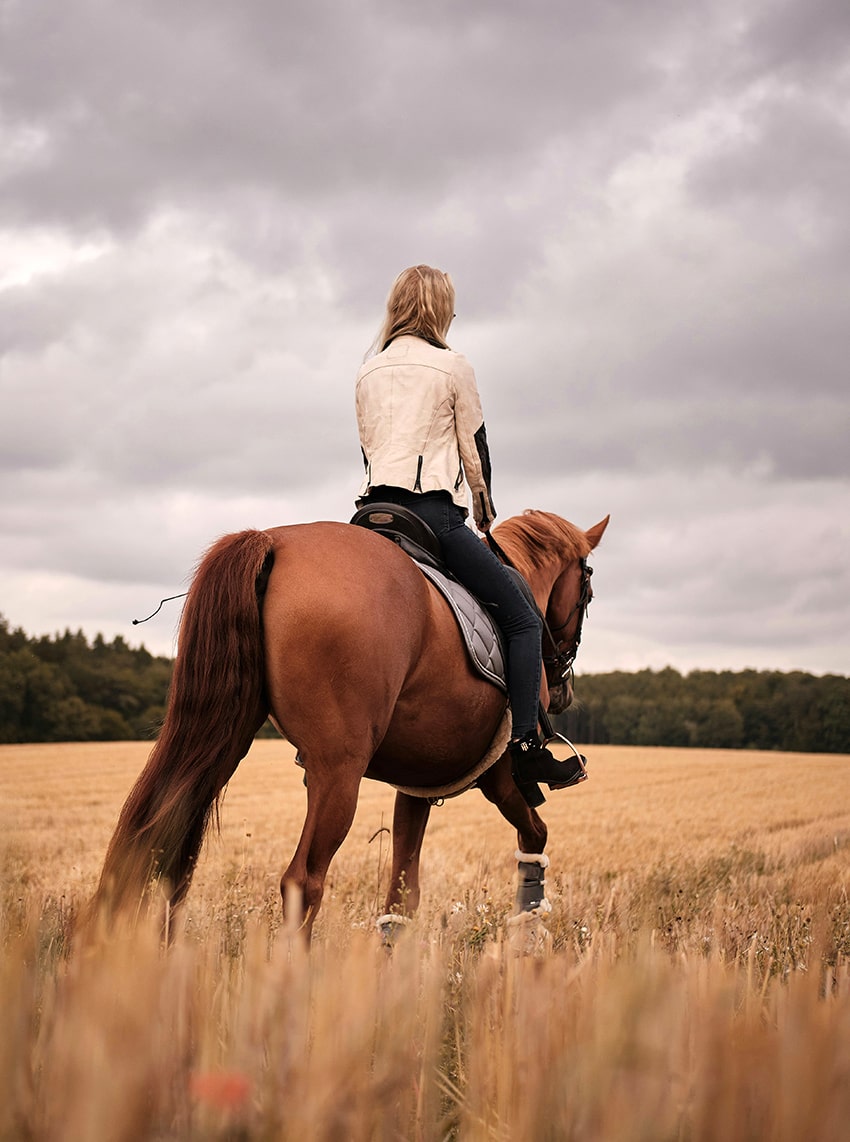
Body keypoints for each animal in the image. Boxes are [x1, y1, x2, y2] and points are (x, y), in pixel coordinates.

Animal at [92, 510, 608, 938]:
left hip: (225, 734)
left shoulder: (417, 783)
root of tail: (273, 541)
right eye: (587, 588)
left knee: (157, 840)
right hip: (339, 769)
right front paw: (529, 923)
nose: (564, 689)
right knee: (303, 880)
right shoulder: (500, 776)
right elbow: (535, 834)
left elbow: (402, 893)